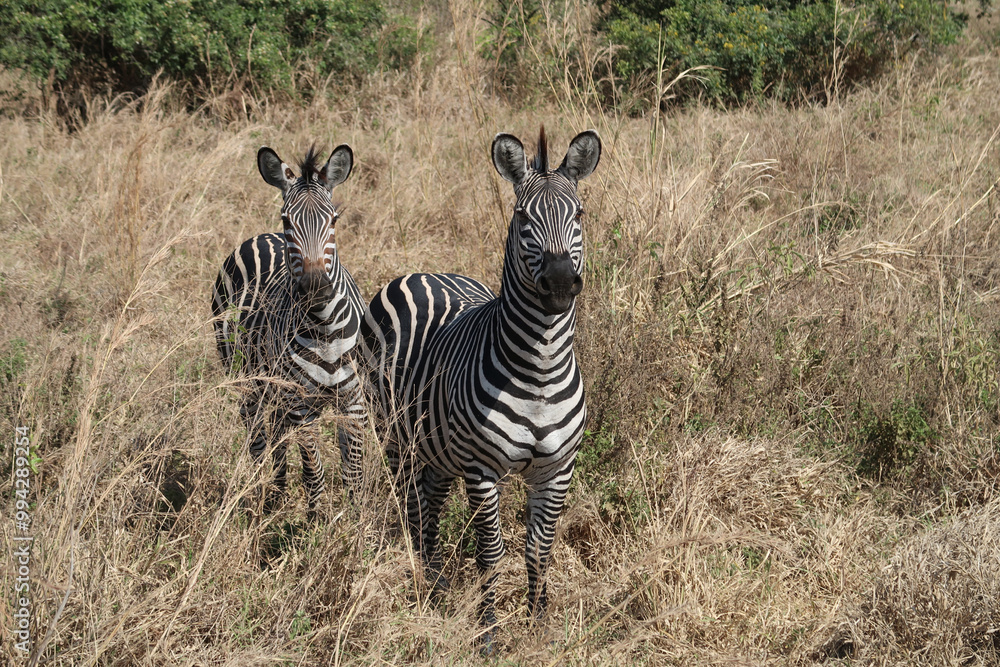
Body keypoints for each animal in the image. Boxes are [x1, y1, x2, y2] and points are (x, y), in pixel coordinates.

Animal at [212, 144, 367, 515]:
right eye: (286, 220)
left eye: (333, 220)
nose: (315, 288)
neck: (325, 328)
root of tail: (259, 236)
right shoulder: (300, 405)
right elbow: (313, 470)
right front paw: (316, 521)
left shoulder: (354, 402)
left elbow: (353, 472)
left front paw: (357, 523)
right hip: (246, 378)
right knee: (257, 436)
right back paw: (266, 498)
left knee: (276, 435)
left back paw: (278, 492)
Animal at [363, 128, 601, 647]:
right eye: (523, 217)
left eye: (578, 214)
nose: (559, 283)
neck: (540, 370)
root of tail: (424, 271)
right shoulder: (481, 467)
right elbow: (490, 551)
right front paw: (489, 631)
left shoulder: (557, 469)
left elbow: (539, 549)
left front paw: (539, 623)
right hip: (396, 438)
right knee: (412, 509)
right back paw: (425, 587)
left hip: (437, 447)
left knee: (429, 504)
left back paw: (435, 584)